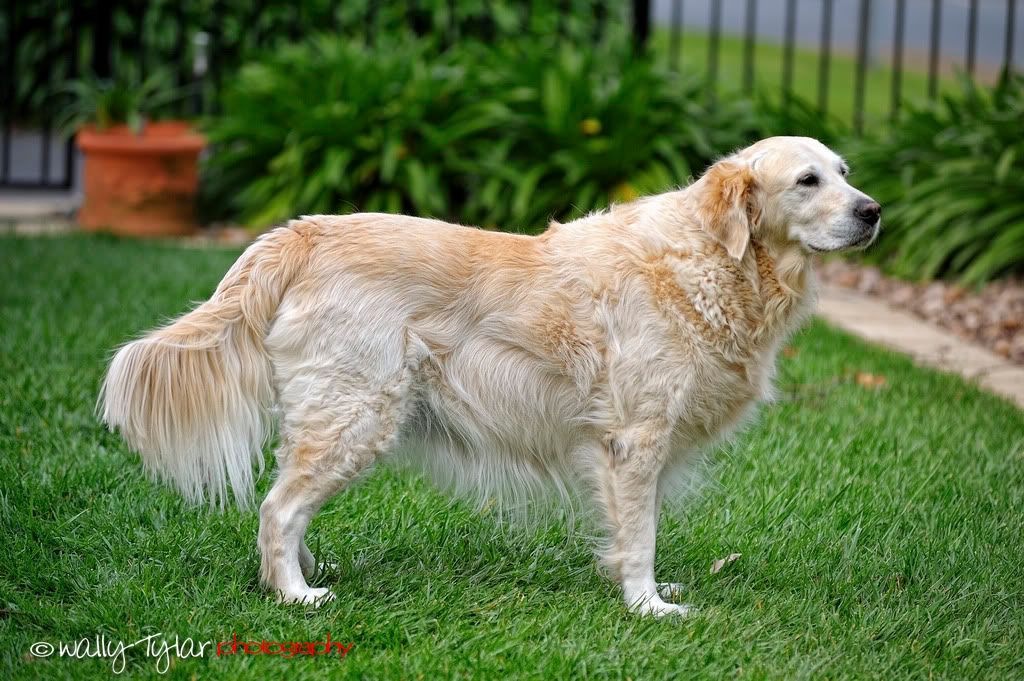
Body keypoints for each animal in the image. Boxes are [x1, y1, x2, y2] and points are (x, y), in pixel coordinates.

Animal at [99, 136, 880, 616]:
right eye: (807, 181)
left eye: (846, 172)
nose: (873, 211)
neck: (719, 262)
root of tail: (302, 231)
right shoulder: (636, 439)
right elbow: (641, 535)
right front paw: (649, 606)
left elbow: (636, 530)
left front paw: (644, 591)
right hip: (358, 413)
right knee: (278, 507)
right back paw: (296, 595)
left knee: (288, 504)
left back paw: (302, 573)